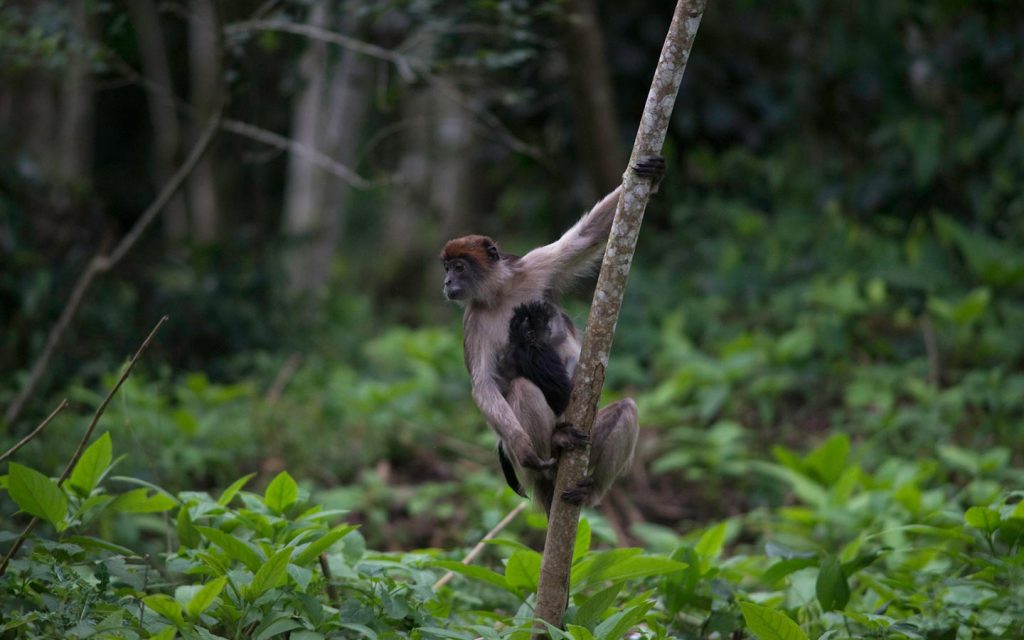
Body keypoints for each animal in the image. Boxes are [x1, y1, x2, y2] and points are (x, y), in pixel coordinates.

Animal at [441, 156, 666, 514]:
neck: (500, 294)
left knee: (627, 409)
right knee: (522, 389)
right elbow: (485, 385)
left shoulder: (533, 267)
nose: (448, 283)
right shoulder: (473, 319)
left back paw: (592, 490)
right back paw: (553, 445)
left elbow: (586, 236)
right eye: (447, 268)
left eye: (459, 267)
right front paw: (523, 448)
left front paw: (653, 173)